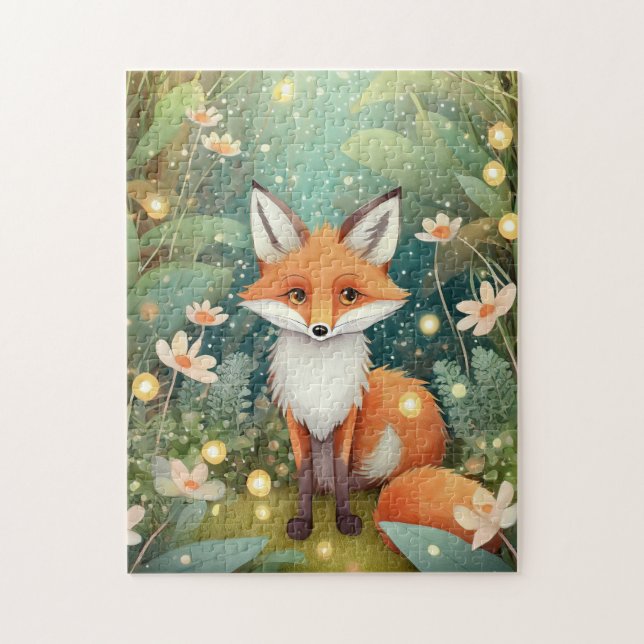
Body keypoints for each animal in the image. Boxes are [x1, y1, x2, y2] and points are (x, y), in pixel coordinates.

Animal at [239, 181, 498, 551]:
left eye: (349, 295)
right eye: (297, 296)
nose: (320, 330)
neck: (320, 378)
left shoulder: (347, 416)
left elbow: (340, 470)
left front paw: (344, 519)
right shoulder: (296, 418)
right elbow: (303, 476)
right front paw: (304, 522)